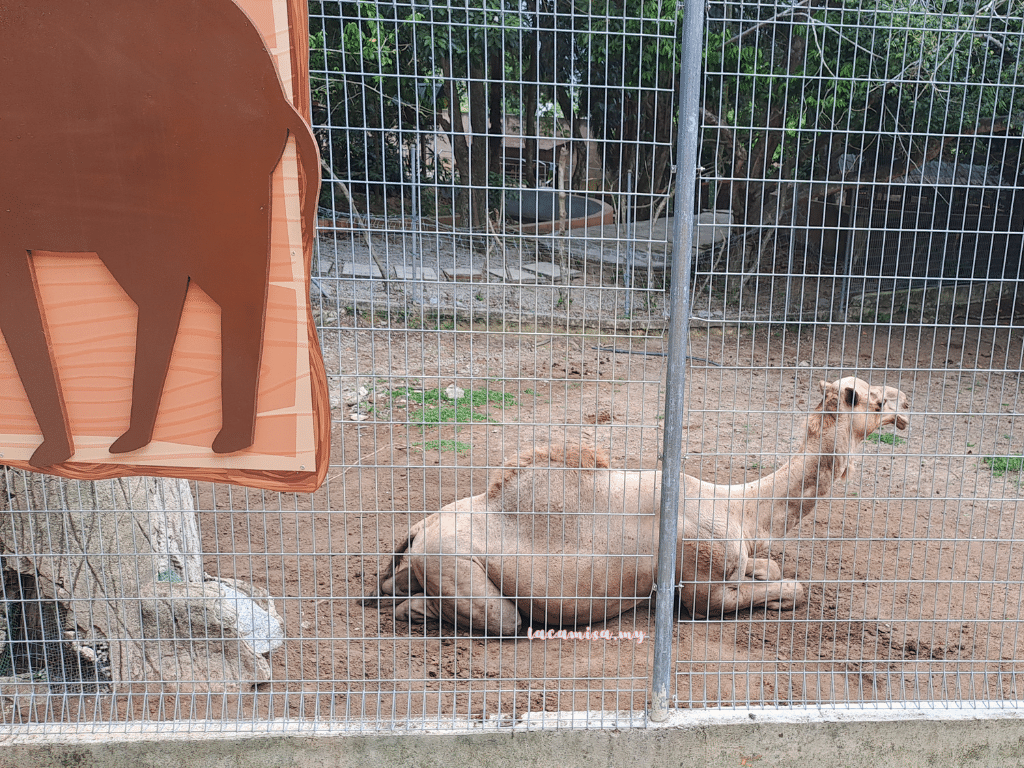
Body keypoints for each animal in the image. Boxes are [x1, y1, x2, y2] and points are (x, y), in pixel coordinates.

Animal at [370, 376, 913, 634]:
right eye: (873, 400)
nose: (906, 404)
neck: (739, 508)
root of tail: (419, 529)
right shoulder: (699, 582)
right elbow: (789, 588)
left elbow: (772, 567)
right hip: (456, 564)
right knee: (503, 620)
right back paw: (415, 611)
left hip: (423, 556)